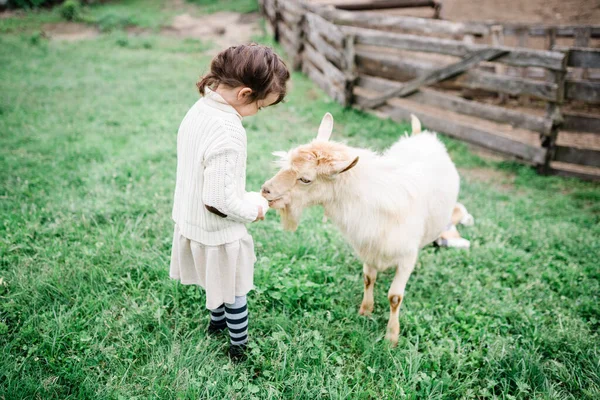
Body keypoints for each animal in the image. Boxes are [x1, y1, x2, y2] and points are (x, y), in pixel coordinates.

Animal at [262, 113, 460, 346]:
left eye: (305, 179)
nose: (266, 190)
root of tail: (422, 135)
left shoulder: (406, 256)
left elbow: (395, 297)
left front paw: (391, 336)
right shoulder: (368, 246)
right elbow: (368, 278)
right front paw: (365, 311)